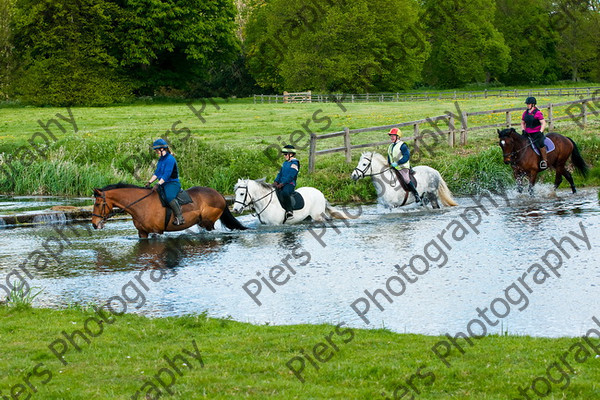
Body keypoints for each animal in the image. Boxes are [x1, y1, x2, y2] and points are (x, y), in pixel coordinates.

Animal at [91, 184, 246, 238]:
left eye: (98, 203)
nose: (94, 223)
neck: (141, 205)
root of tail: (219, 194)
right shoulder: (142, 233)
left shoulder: (156, 232)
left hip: (208, 222)